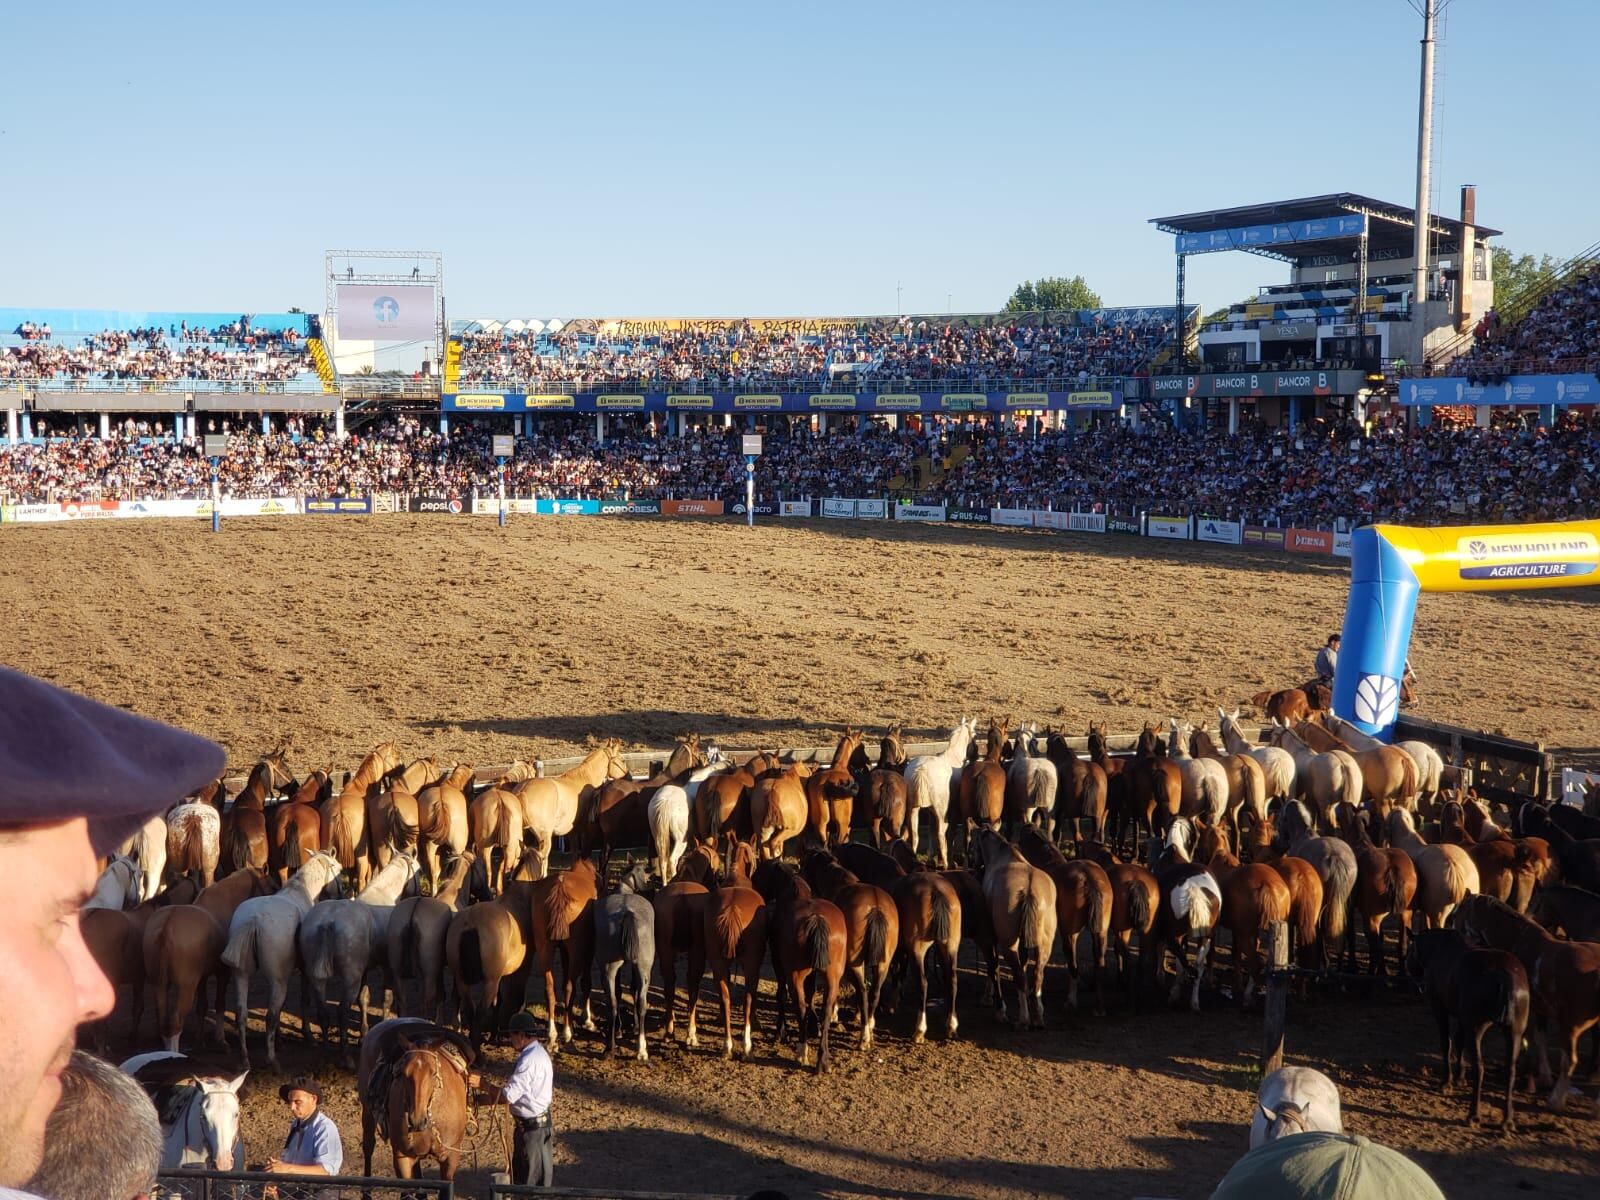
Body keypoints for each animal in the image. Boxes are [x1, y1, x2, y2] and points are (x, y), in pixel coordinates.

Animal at [220, 844, 342, 1068]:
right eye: (338, 868)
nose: (344, 892)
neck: (302, 891)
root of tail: (253, 920)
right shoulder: (304, 971)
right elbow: (304, 1000)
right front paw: (307, 1036)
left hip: (241, 975)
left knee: (242, 1014)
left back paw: (245, 1059)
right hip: (279, 981)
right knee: (270, 1015)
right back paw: (272, 1060)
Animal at [296, 851, 416, 1068]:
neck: (382, 894)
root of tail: (328, 921)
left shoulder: (365, 969)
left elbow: (364, 1000)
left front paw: (363, 1034)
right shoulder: (387, 967)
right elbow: (386, 999)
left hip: (317, 980)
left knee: (323, 1012)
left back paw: (326, 1053)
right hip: (350, 981)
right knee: (342, 1012)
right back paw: (346, 1056)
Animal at [595, 864, 656, 1062]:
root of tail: (627, 912)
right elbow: (632, 990)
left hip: (609, 968)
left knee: (613, 1002)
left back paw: (611, 1046)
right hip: (642, 968)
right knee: (640, 1002)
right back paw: (640, 1049)